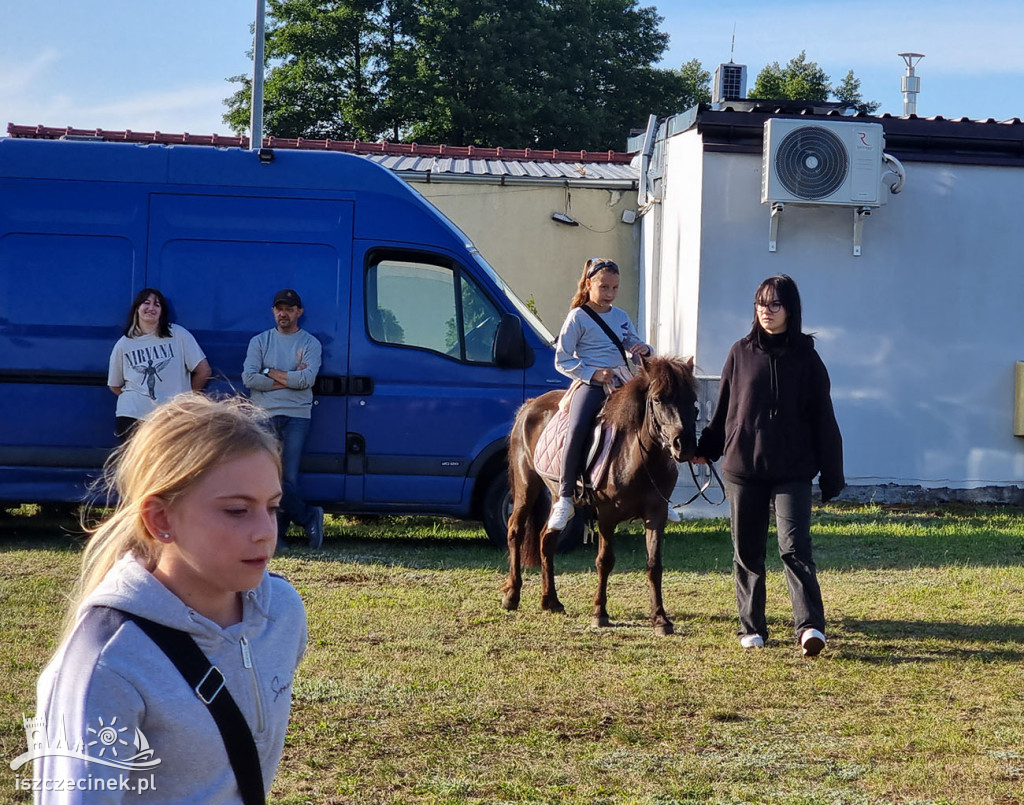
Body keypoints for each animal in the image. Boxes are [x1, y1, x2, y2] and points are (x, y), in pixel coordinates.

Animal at [499, 358, 700, 634]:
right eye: (658, 399)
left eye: (692, 399)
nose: (685, 444)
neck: (638, 457)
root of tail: (529, 405)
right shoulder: (607, 515)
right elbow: (604, 561)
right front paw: (600, 613)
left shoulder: (656, 514)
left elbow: (654, 564)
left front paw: (660, 618)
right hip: (526, 486)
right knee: (515, 530)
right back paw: (512, 595)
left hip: (557, 494)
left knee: (546, 539)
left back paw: (551, 601)